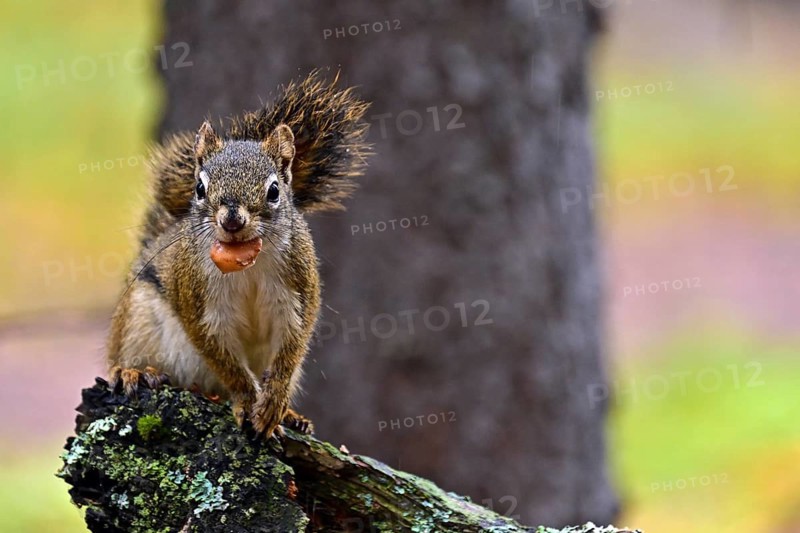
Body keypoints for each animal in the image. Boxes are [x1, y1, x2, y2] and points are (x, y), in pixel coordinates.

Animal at [106, 72, 370, 438]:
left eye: (274, 191)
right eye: (199, 188)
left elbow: (291, 349)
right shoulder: (199, 302)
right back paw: (134, 372)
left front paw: (274, 402)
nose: (232, 219)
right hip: (137, 321)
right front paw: (247, 400)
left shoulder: (297, 293)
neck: (248, 262)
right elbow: (223, 358)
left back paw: (292, 417)